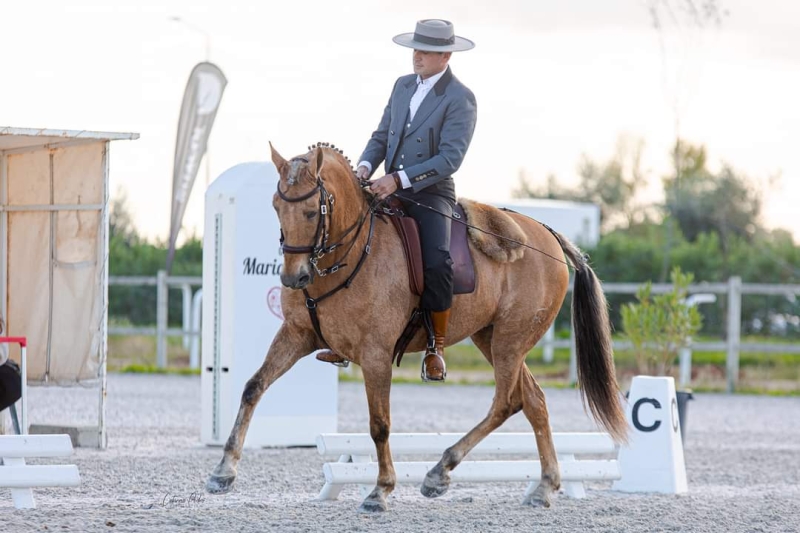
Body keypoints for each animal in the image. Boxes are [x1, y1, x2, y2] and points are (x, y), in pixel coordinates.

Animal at [205, 142, 624, 512]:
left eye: (311, 212)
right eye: (276, 206)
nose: (294, 278)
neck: (349, 255)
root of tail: (548, 236)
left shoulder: (375, 354)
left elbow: (379, 424)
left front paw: (380, 490)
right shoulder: (296, 335)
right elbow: (253, 387)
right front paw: (223, 472)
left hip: (511, 339)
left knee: (507, 402)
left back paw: (440, 472)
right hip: (490, 337)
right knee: (534, 400)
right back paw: (544, 487)